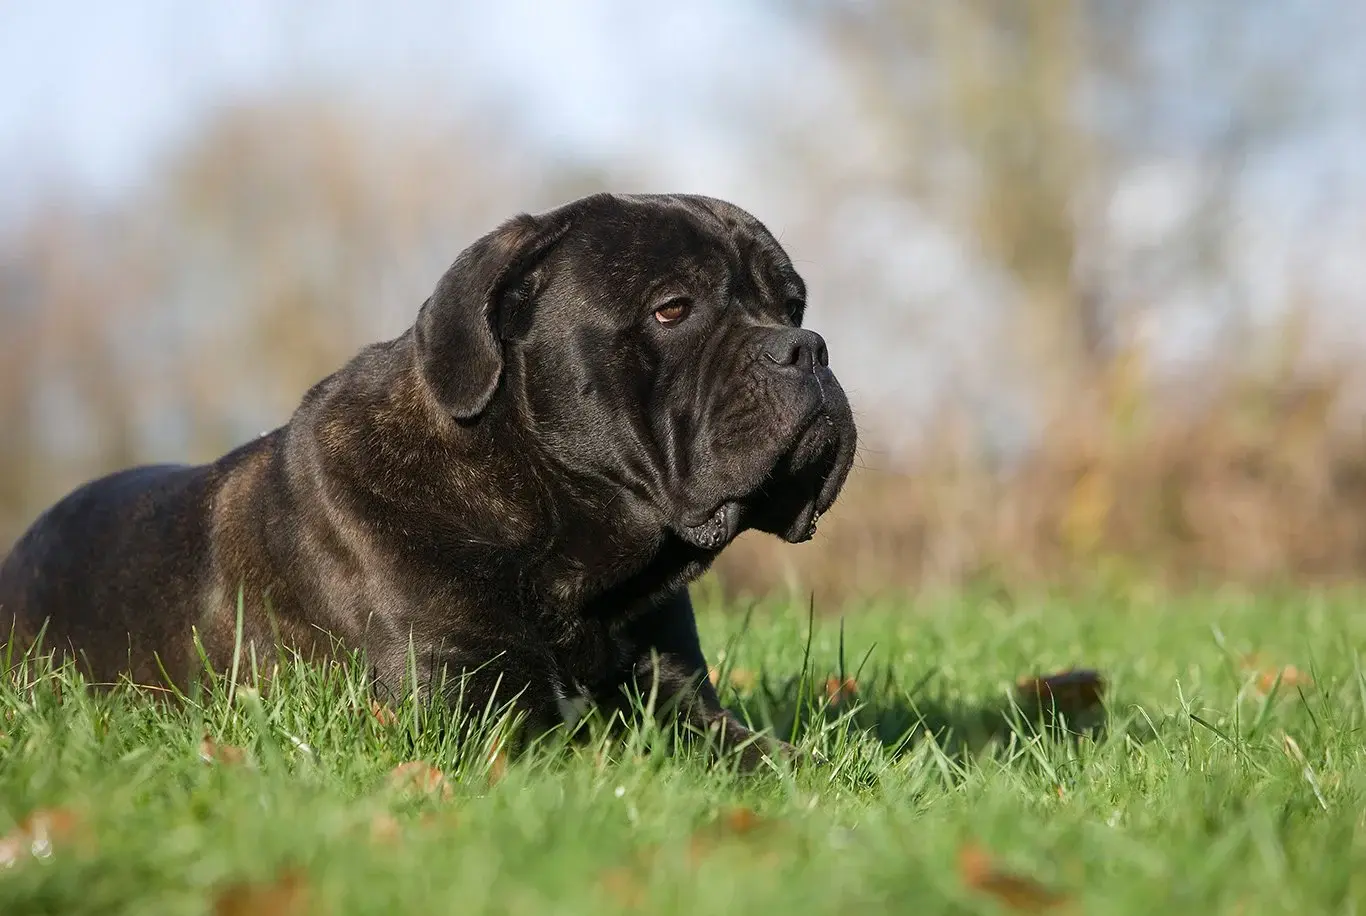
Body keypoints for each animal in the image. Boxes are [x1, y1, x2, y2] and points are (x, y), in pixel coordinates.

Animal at [0, 191, 852, 764]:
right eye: (673, 309)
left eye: (794, 303)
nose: (805, 347)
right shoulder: (472, 712)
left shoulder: (679, 701)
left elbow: (770, 759)